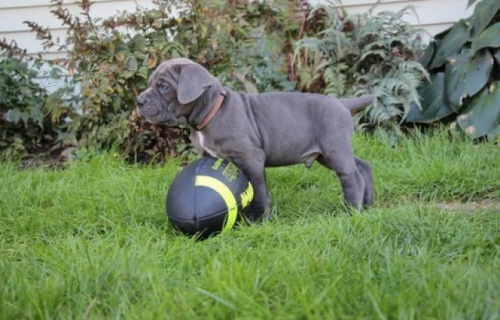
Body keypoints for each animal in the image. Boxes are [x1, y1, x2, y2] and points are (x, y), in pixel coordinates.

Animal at [139, 58, 374, 220]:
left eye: (163, 87)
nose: (139, 100)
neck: (212, 112)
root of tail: (342, 103)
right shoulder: (209, 155)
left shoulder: (251, 158)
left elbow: (259, 192)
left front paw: (260, 220)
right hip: (327, 153)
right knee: (363, 166)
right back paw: (369, 205)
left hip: (334, 146)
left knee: (352, 176)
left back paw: (351, 211)